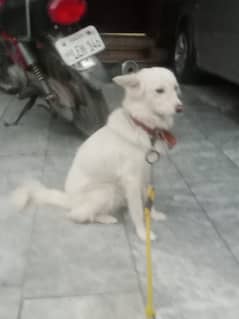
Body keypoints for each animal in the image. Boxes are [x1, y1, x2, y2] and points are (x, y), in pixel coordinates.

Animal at [11, 68, 182, 242]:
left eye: (175, 88)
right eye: (159, 91)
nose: (180, 108)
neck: (142, 126)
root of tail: (69, 199)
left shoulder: (147, 173)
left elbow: (149, 199)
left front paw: (154, 214)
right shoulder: (131, 179)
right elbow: (137, 212)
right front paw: (142, 233)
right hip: (107, 191)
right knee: (76, 215)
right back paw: (105, 218)